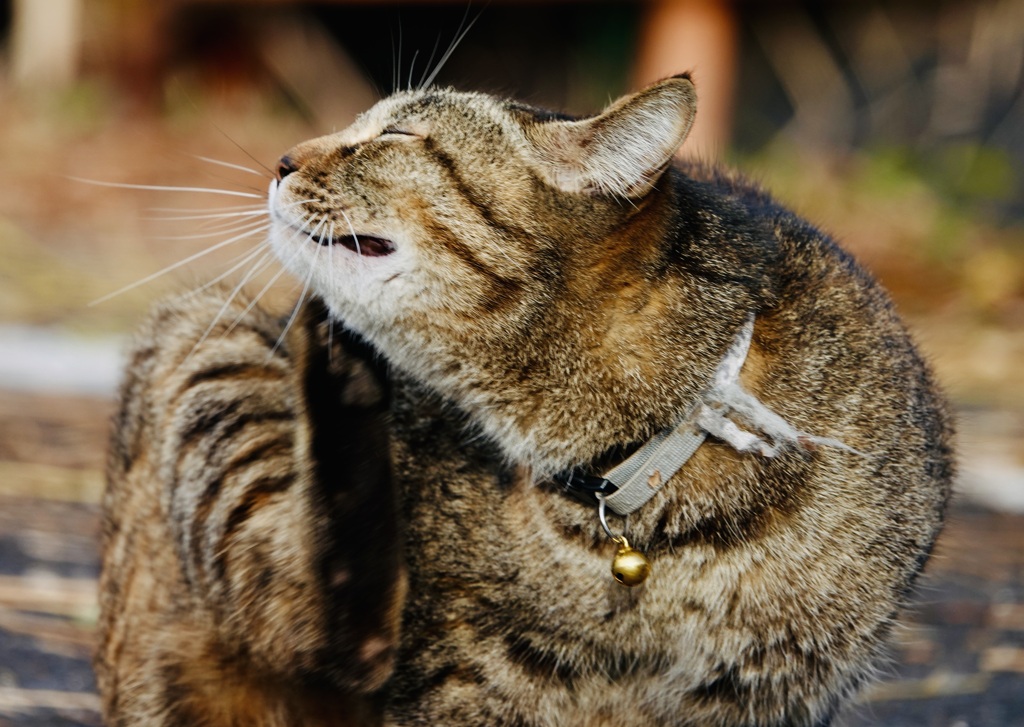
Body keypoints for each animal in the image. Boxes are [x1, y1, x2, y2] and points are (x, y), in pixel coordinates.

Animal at [96, 75, 950, 727]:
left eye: (398, 135)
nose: (280, 159)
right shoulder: (461, 683)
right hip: (206, 336)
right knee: (325, 629)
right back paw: (337, 363)